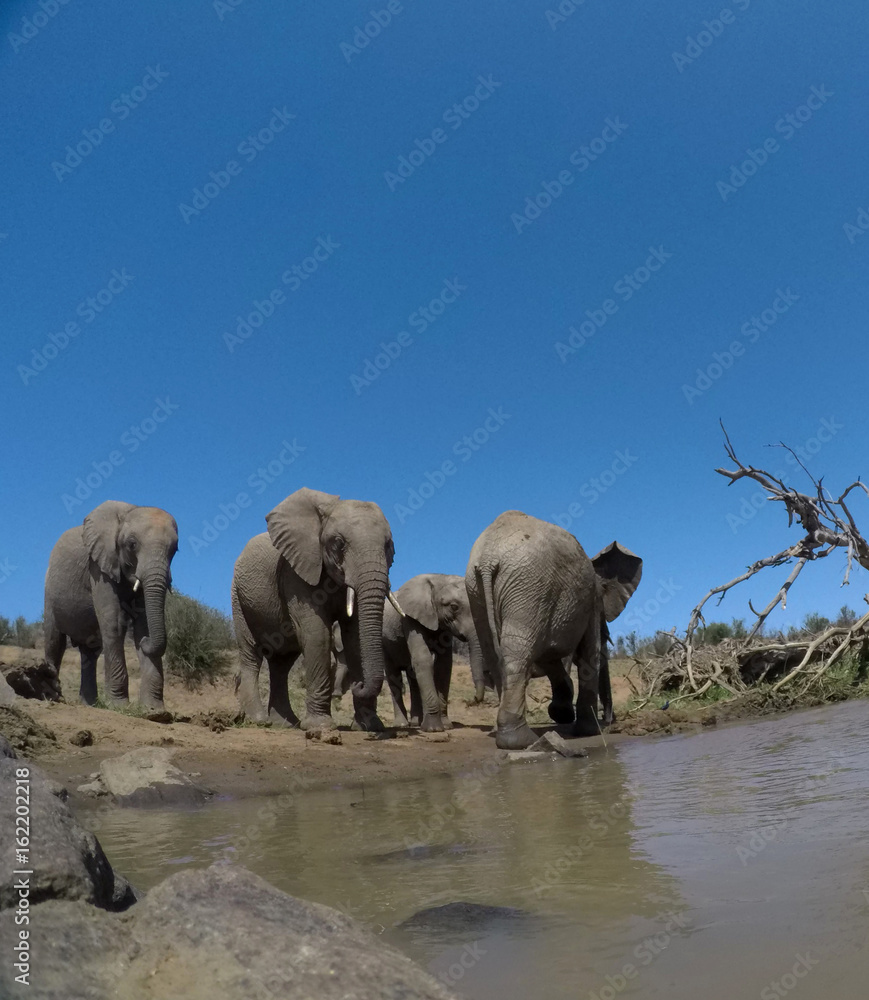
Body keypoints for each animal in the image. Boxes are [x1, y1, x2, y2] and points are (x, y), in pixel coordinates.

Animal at [43, 500, 179, 710]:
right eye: (132, 544)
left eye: (175, 550)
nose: (145, 643)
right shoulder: (98, 567)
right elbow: (114, 623)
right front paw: (119, 706)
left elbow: (143, 624)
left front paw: (154, 711)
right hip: (49, 592)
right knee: (54, 641)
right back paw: (52, 698)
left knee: (90, 652)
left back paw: (90, 704)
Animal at [232, 488, 402, 731]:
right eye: (339, 543)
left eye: (389, 545)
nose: (358, 684)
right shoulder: (295, 573)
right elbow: (317, 634)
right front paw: (320, 727)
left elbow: (355, 637)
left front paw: (369, 726)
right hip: (239, 596)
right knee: (252, 654)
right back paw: (259, 720)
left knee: (281, 664)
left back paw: (286, 724)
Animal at [382, 573, 487, 732]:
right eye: (454, 607)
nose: (472, 700)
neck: (438, 578)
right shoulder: (410, 619)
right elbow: (423, 659)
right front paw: (434, 729)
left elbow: (444, 665)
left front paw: (447, 726)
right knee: (393, 676)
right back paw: (402, 725)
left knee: (412, 678)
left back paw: (416, 723)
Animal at [465, 510, 642, 750]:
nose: (610, 720)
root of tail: (487, 560)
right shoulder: (592, 600)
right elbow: (588, 654)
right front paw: (588, 731)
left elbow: (551, 654)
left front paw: (563, 713)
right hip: (528, 587)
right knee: (517, 654)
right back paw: (521, 741)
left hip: (479, 592)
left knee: (496, 655)